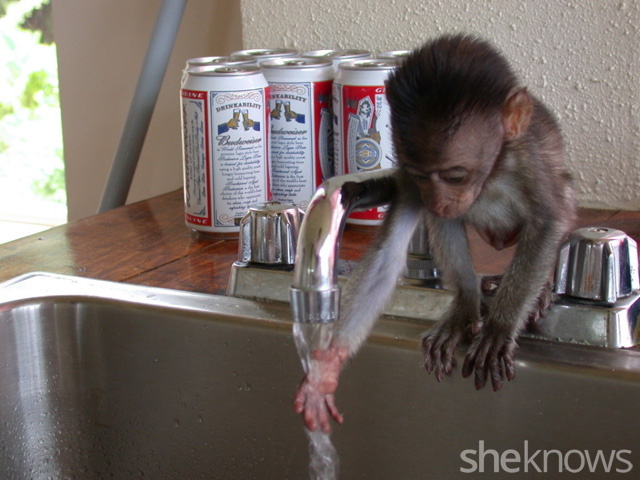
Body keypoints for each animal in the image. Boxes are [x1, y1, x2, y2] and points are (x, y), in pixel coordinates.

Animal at [294, 34, 576, 433]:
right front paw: (325, 370)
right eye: (421, 175)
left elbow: (550, 219)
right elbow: (388, 257)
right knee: (446, 223)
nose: (439, 199)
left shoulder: (528, 157)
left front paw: (500, 326)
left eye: (455, 175)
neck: (490, 175)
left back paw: (536, 293)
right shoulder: (409, 178)